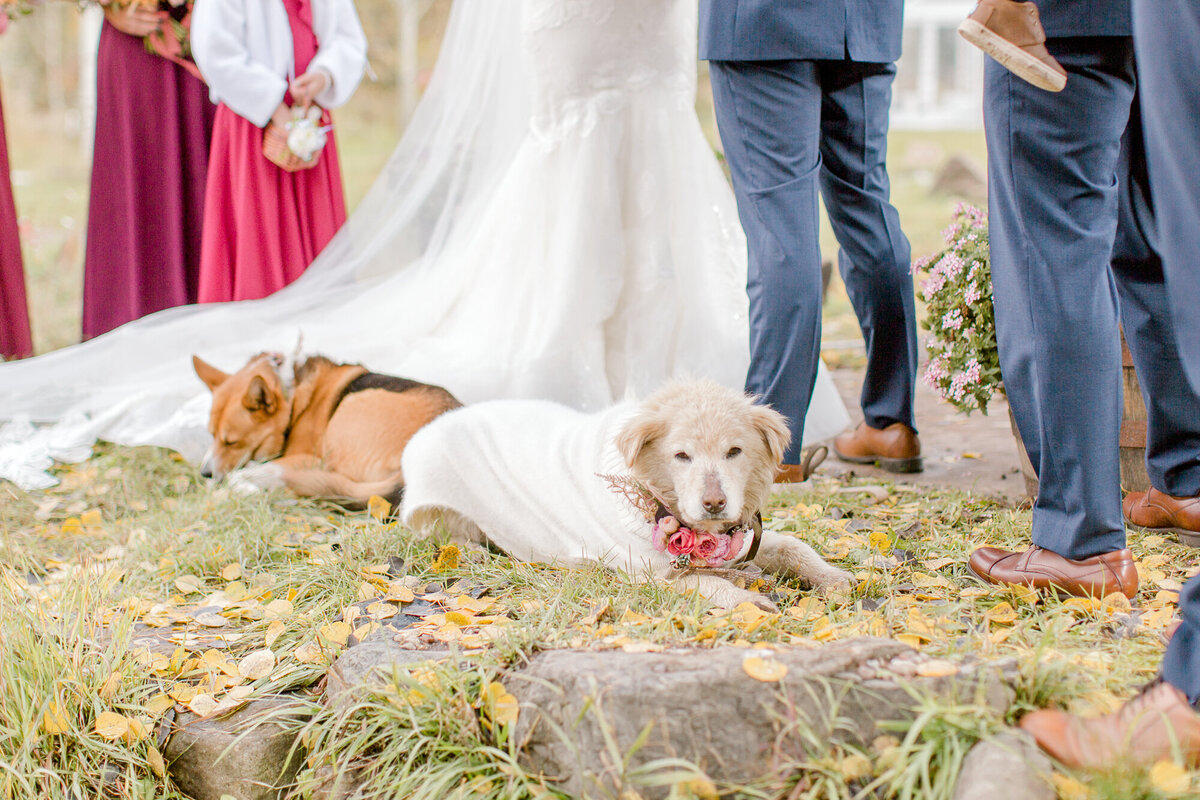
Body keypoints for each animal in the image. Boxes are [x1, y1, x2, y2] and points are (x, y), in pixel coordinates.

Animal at [398, 379, 849, 609]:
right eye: (681, 455)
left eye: (734, 451)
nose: (714, 504)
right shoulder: (648, 573)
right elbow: (703, 583)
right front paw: (745, 599)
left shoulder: (739, 539)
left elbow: (794, 546)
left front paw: (835, 578)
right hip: (438, 505)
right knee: (444, 535)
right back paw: (471, 550)